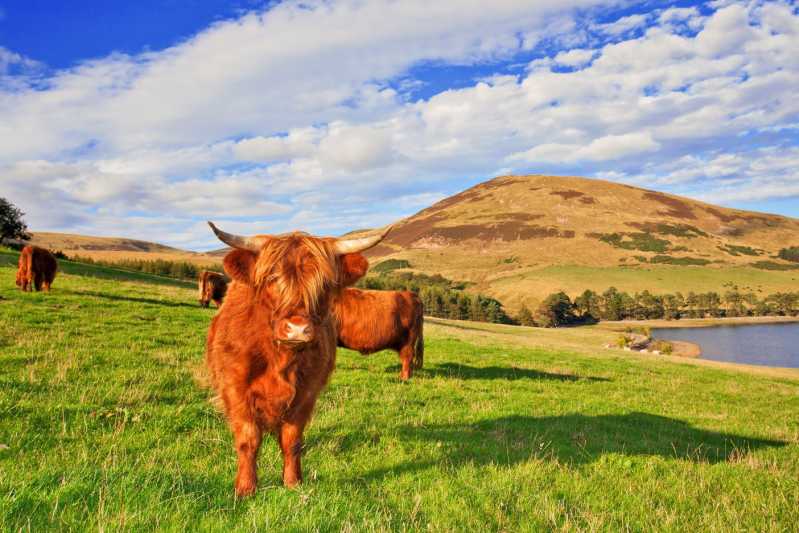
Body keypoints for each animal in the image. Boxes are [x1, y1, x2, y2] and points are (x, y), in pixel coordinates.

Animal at [205, 220, 392, 494]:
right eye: (272, 278)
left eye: (324, 284)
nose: (297, 329)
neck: (279, 357)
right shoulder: (236, 389)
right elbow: (248, 439)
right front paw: (246, 488)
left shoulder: (306, 393)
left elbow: (292, 440)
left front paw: (293, 483)